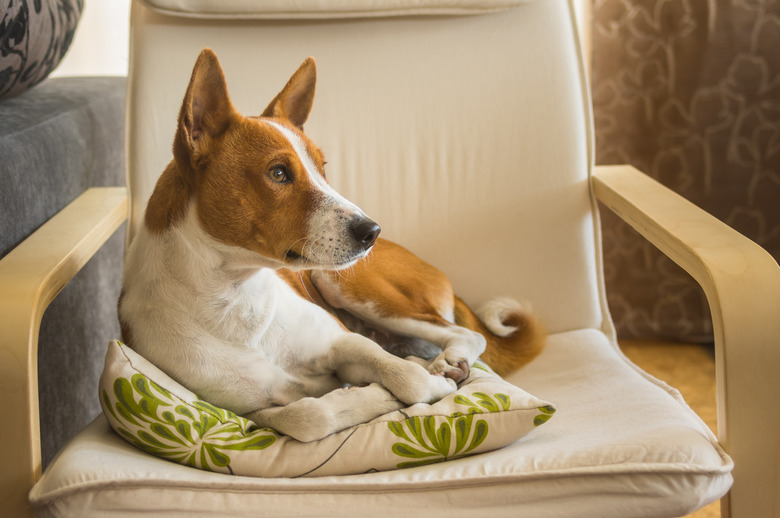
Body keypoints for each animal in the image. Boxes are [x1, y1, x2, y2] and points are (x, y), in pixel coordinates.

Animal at [119, 49, 544, 442]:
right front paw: (375, 397)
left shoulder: (343, 341)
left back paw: (450, 360)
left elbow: (406, 377)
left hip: (346, 285)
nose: (371, 230)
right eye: (278, 173)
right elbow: (310, 416)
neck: (237, 300)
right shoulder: (253, 411)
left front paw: (426, 381)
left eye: (322, 168)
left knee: (465, 334)